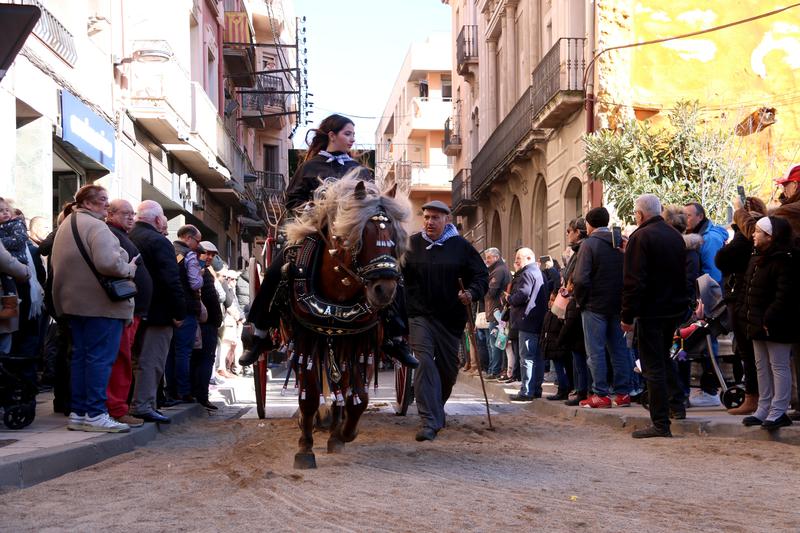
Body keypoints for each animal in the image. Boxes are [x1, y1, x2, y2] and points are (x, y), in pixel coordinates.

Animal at [278, 175, 410, 466]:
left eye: (393, 237)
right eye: (362, 236)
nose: (385, 290)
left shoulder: (358, 342)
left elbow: (358, 398)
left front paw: (343, 434)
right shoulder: (307, 339)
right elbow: (310, 396)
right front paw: (305, 447)